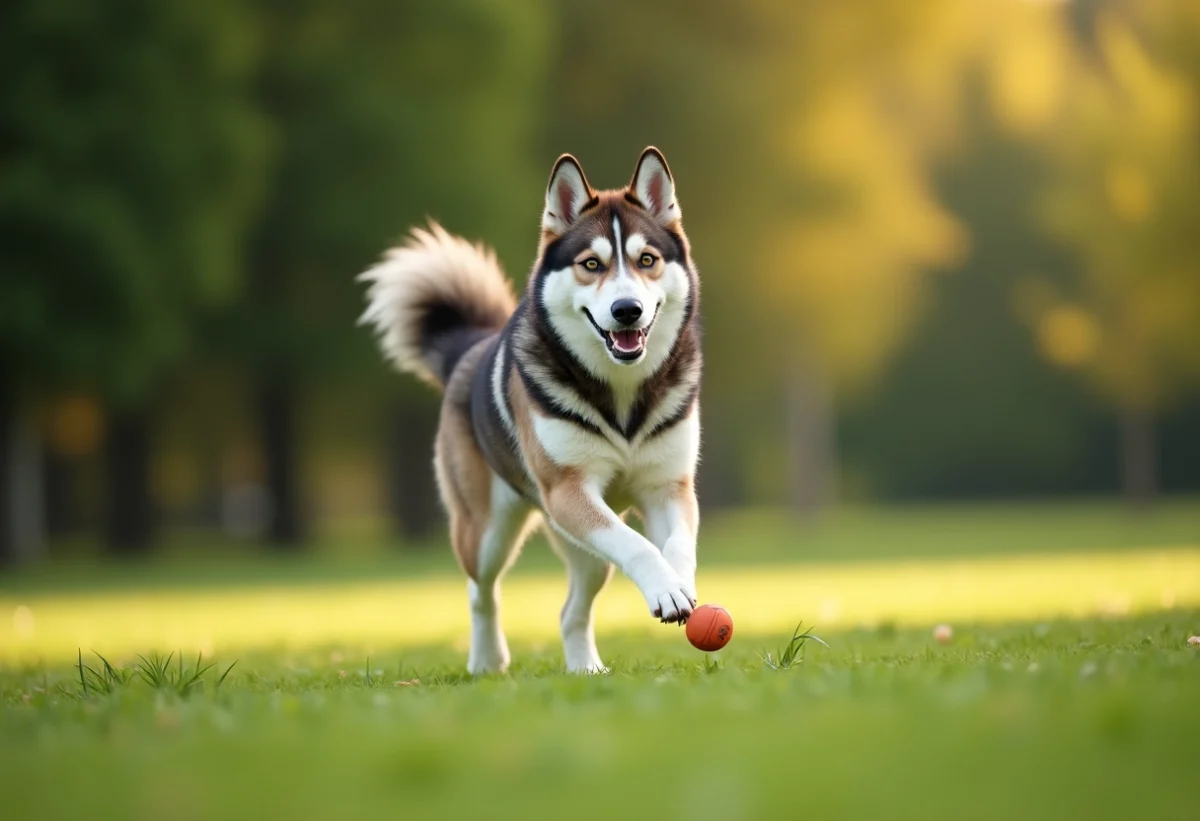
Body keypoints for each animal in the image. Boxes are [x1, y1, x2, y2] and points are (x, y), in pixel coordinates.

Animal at [355, 147, 700, 672]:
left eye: (647, 260)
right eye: (591, 264)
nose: (627, 310)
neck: (621, 395)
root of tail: (469, 347)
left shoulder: (668, 486)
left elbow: (677, 543)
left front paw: (679, 584)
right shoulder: (569, 491)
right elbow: (637, 545)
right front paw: (664, 586)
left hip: (578, 545)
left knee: (570, 609)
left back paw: (586, 669)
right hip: (488, 530)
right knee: (481, 592)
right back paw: (486, 660)